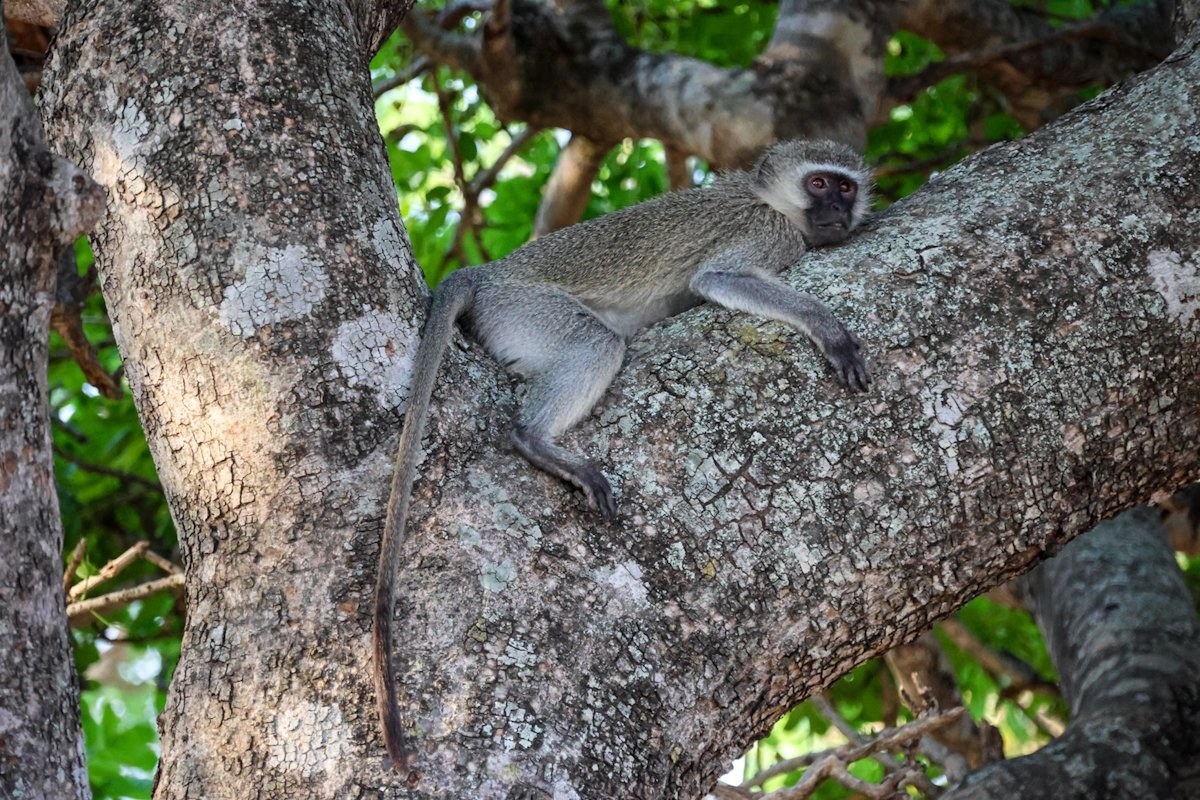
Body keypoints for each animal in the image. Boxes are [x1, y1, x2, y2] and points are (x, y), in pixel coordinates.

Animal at [374, 138, 872, 772]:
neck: (768, 199)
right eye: (820, 184)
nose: (837, 209)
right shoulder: (768, 235)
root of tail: (490, 272)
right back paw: (534, 439)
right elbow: (720, 277)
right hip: (524, 308)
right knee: (594, 342)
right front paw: (828, 328)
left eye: (846, 187)